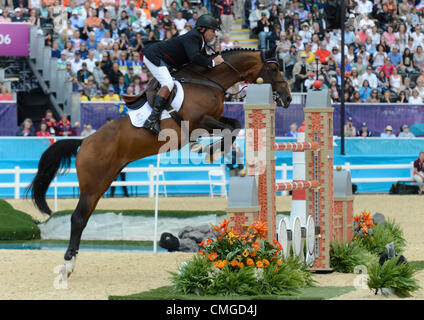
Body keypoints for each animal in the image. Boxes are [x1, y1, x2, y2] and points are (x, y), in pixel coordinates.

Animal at [26, 47, 292, 278]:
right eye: (273, 69)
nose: (288, 99)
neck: (209, 82)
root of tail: (85, 141)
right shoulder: (199, 121)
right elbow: (230, 128)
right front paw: (208, 151)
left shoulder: (212, 120)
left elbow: (234, 125)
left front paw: (209, 150)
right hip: (92, 186)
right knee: (78, 218)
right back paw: (68, 263)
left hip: (102, 184)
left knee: (83, 218)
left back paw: (72, 262)